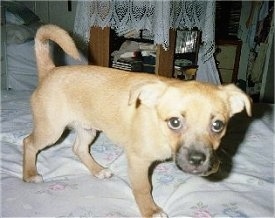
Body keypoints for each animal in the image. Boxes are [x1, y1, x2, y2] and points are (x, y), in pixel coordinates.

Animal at [23, 24, 252, 217]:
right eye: (175, 122)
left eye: (217, 125)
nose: (198, 160)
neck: (159, 129)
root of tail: (50, 71)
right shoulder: (138, 160)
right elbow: (143, 188)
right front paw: (150, 210)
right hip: (51, 129)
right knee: (29, 143)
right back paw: (30, 174)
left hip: (87, 128)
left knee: (78, 148)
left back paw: (98, 170)